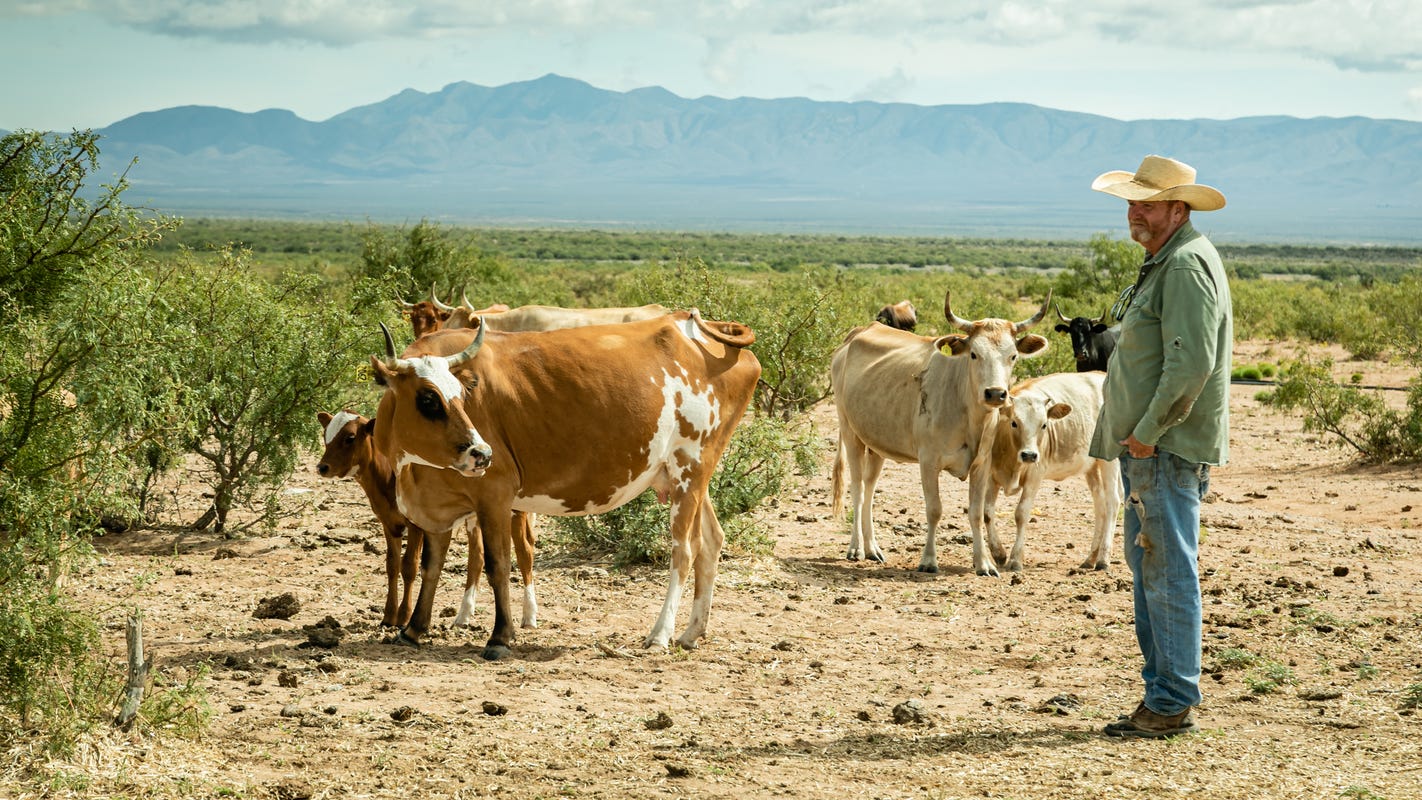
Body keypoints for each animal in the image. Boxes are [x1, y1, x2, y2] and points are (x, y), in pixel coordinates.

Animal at [317, 412, 537, 633]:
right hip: (475, 518)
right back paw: (463, 615)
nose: (322, 467)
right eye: (326, 435)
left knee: (524, 552)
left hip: (515, 511)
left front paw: (404, 617)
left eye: (350, 437)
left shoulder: (416, 526)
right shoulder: (388, 523)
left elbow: (409, 566)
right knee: (477, 557)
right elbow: (392, 565)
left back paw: (529, 616)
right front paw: (388, 616)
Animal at [372, 309, 762, 659]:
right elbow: (431, 565)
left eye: (462, 393)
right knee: (711, 542)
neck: (415, 472)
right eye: (428, 398)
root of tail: (694, 325)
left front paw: (501, 636)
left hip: (690, 469)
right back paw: (692, 631)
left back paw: (661, 634)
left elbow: (499, 564)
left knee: (685, 550)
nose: (481, 453)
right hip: (692, 477)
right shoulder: (437, 502)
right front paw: (413, 629)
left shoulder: (495, 495)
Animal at [830, 288, 1052, 576]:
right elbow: (934, 509)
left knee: (869, 487)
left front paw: (983, 563)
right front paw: (928, 560)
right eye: (973, 354)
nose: (995, 394)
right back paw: (856, 548)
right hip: (850, 432)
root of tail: (856, 334)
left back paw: (872, 549)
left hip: (876, 442)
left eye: (1013, 356)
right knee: (857, 488)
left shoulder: (982, 464)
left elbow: (976, 512)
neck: (968, 415)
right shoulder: (928, 461)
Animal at [966, 372, 1120, 574]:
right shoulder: (992, 476)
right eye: (1014, 423)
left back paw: (1103, 559)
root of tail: (1100, 374)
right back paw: (1090, 559)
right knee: (1100, 506)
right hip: (1091, 467)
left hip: (1110, 461)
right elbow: (987, 513)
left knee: (1112, 503)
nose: (1029, 455)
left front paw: (1015, 559)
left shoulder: (1035, 475)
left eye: (1044, 425)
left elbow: (1021, 513)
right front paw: (998, 553)